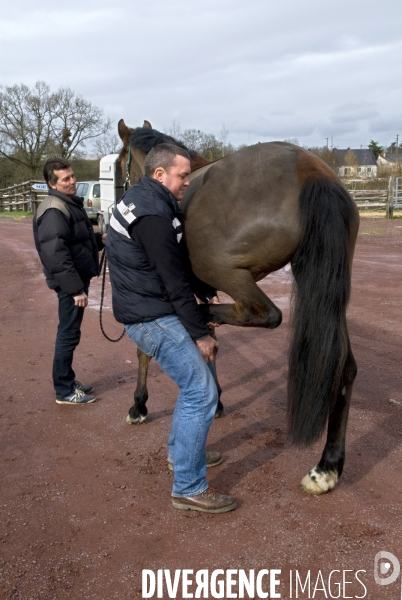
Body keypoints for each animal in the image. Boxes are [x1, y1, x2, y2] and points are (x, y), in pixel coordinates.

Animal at [114, 119, 360, 494]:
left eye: (116, 166)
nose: (114, 203)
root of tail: (309, 168)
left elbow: (146, 349)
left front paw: (138, 404)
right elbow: (208, 347)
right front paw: (215, 400)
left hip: (225, 272)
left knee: (264, 314)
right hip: (331, 292)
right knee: (343, 367)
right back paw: (327, 465)